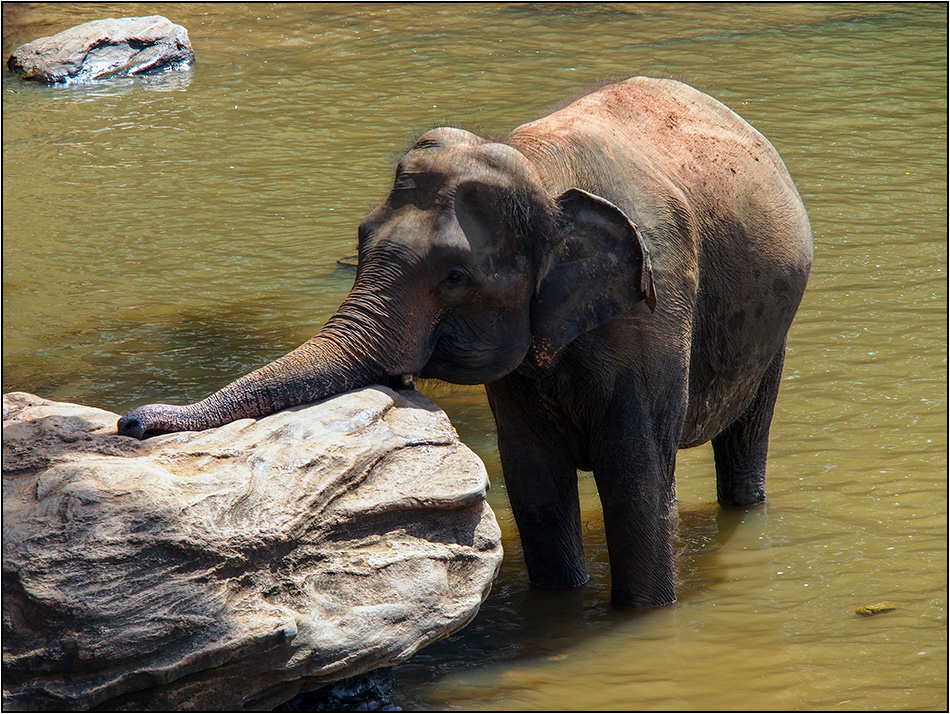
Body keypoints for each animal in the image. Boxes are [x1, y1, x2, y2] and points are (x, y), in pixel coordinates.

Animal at [119, 75, 816, 608]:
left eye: (456, 276)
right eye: (361, 240)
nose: (131, 422)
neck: (538, 166)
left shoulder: (657, 307)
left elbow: (637, 482)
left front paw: (644, 616)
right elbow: (534, 484)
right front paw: (561, 604)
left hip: (777, 323)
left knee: (747, 436)